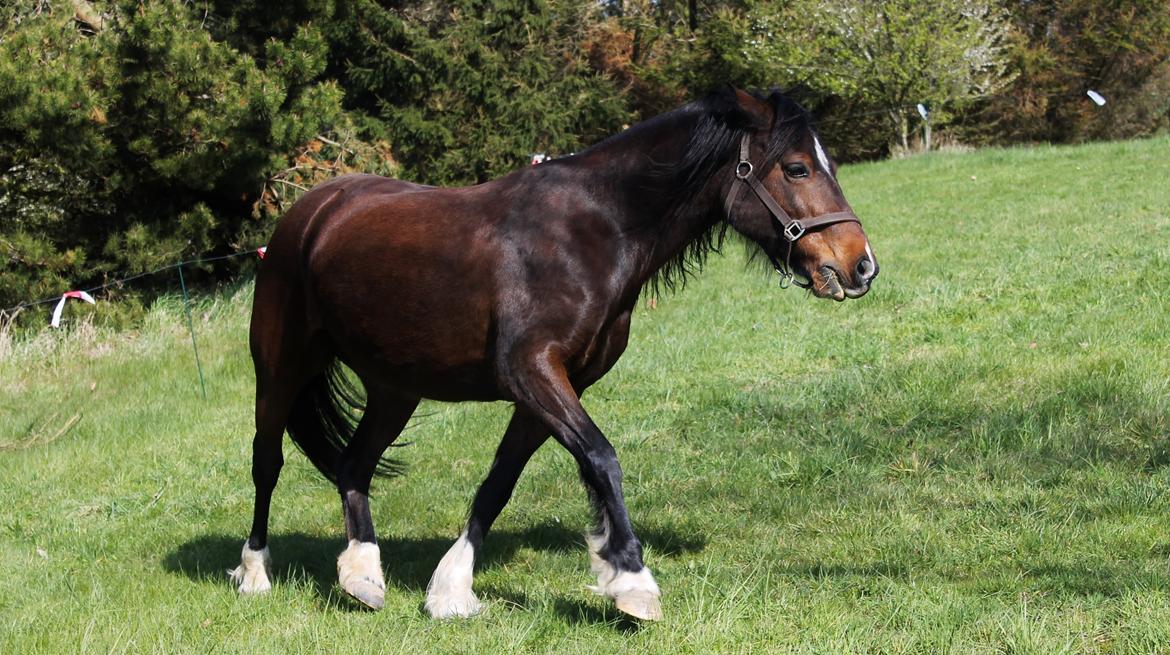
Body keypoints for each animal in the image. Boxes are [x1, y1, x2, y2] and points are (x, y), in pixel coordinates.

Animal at [229, 86, 878, 621]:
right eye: (795, 168)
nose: (860, 265)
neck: (592, 232)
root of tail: (313, 208)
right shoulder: (533, 372)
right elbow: (602, 459)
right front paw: (632, 581)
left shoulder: (556, 385)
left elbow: (500, 482)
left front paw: (452, 590)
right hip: (281, 370)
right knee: (268, 462)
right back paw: (255, 573)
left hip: (395, 388)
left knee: (353, 466)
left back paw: (362, 575)